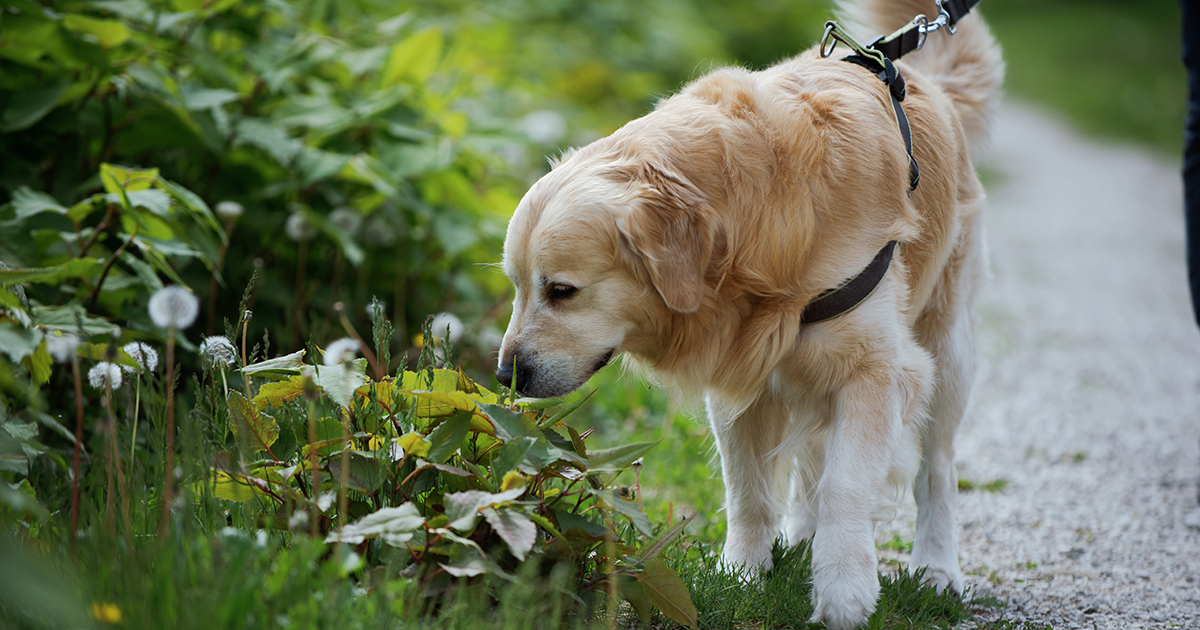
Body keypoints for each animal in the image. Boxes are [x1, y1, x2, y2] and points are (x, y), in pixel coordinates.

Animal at [496, 1, 1003, 624]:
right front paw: (743, 573)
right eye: (516, 285)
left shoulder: (878, 371)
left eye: (562, 291)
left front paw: (844, 590)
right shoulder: (742, 372)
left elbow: (846, 482)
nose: (505, 375)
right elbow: (749, 490)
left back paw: (936, 568)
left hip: (946, 348)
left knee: (937, 468)